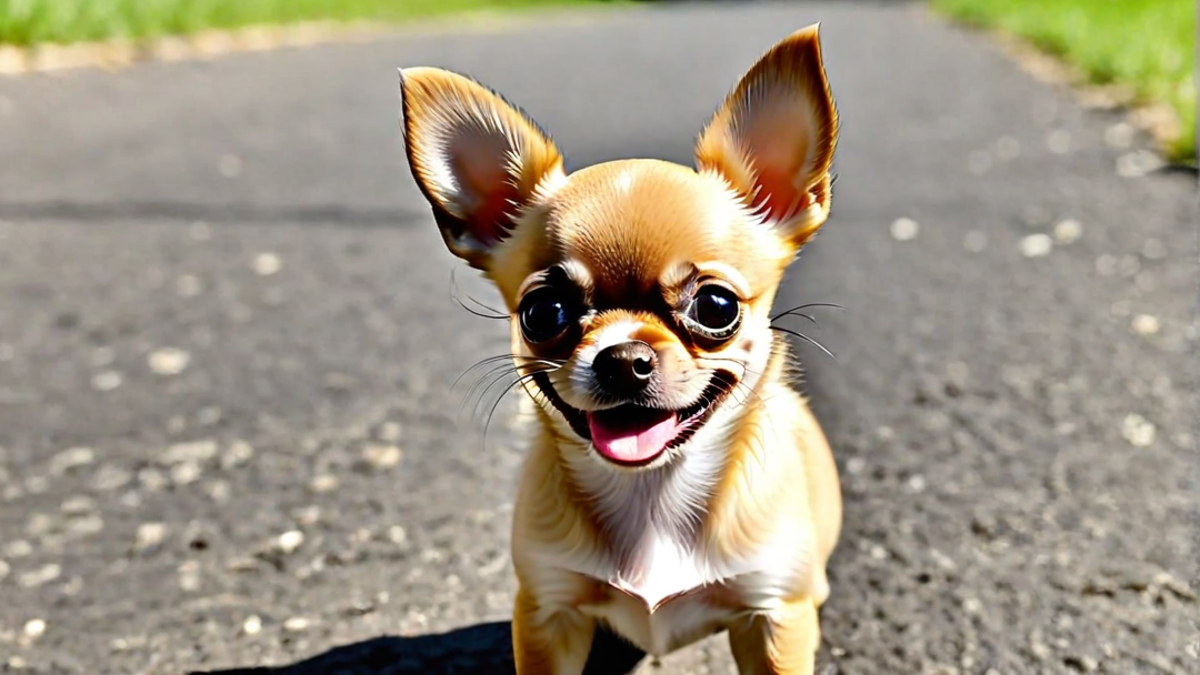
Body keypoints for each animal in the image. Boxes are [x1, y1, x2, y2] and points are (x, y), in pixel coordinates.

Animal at [398, 23, 840, 672]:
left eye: (716, 307)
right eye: (542, 313)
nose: (624, 358)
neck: (651, 498)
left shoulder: (773, 618)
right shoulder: (547, 612)